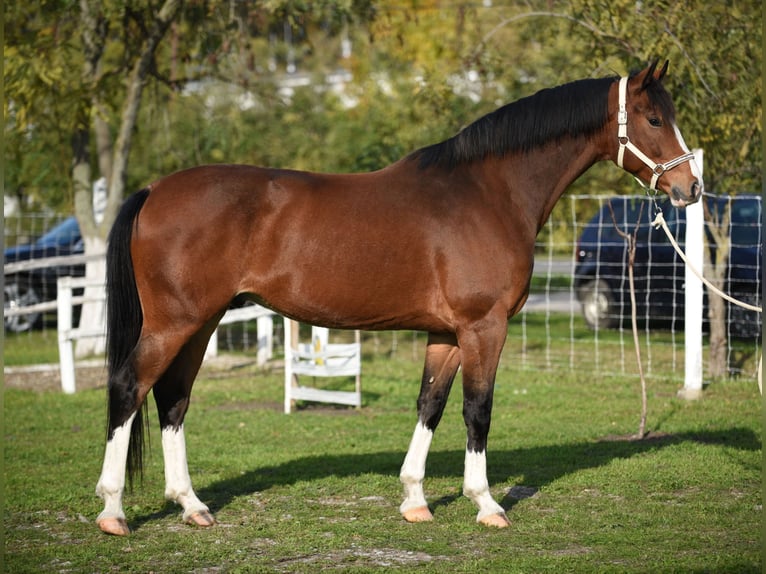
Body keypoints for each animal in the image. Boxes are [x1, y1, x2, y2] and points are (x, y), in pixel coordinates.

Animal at [94, 60, 704, 536]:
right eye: (654, 119)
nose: (690, 189)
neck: (488, 193)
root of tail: (155, 189)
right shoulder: (484, 327)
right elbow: (478, 409)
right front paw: (487, 503)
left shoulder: (447, 332)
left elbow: (430, 404)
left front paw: (414, 500)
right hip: (175, 323)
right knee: (129, 387)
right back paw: (113, 511)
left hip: (201, 323)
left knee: (173, 399)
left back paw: (192, 506)